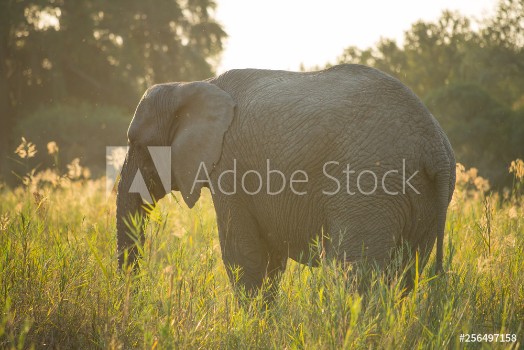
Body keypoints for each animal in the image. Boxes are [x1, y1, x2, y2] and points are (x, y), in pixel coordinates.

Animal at [115, 63, 454, 298]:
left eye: (137, 144)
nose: (138, 296)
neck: (191, 85)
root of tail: (433, 146)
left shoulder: (230, 169)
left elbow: (242, 256)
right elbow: (270, 260)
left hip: (370, 186)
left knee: (356, 274)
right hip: (421, 199)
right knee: (405, 273)